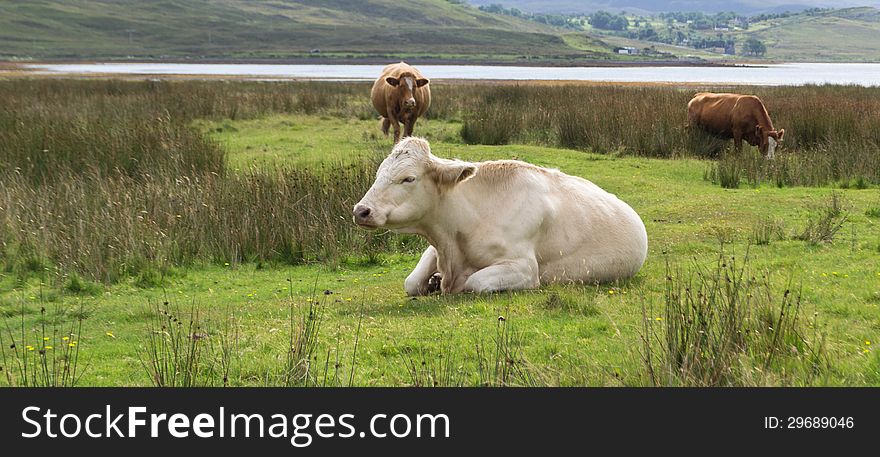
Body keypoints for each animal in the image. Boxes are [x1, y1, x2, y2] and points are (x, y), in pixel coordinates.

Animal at [350, 139, 648, 294]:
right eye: (378, 173)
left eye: (408, 178)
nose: (361, 210)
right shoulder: (434, 249)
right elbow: (411, 283)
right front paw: (432, 281)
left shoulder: (525, 269)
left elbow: (475, 282)